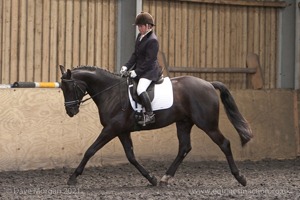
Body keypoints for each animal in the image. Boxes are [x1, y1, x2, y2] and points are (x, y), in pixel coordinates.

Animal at [59, 65, 253, 187]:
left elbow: (90, 150)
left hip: (207, 124)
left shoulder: (111, 129)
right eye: (62, 88)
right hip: (184, 123)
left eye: (71, 87)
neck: (111, 92)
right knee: (184, 148)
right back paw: (164, 179)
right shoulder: (122, 131)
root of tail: (209, 84)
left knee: (224, 144)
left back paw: (240, 178)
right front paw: (151, 178)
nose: (70, 111)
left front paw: (72, 177)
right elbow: (131, 156)